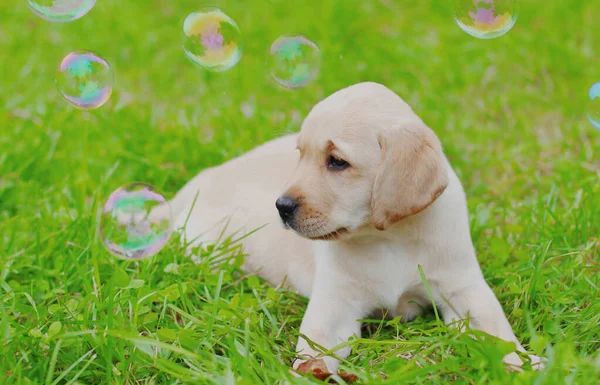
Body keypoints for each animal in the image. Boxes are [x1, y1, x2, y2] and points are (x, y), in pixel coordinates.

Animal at [170, 81, 544, 372]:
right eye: (300, 155)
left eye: (337, 162)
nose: (281, 207)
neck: (388, 238)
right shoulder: (335, 304)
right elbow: (315, 349)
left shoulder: (463, 287)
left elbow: (496, 330)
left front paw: (522, 362)